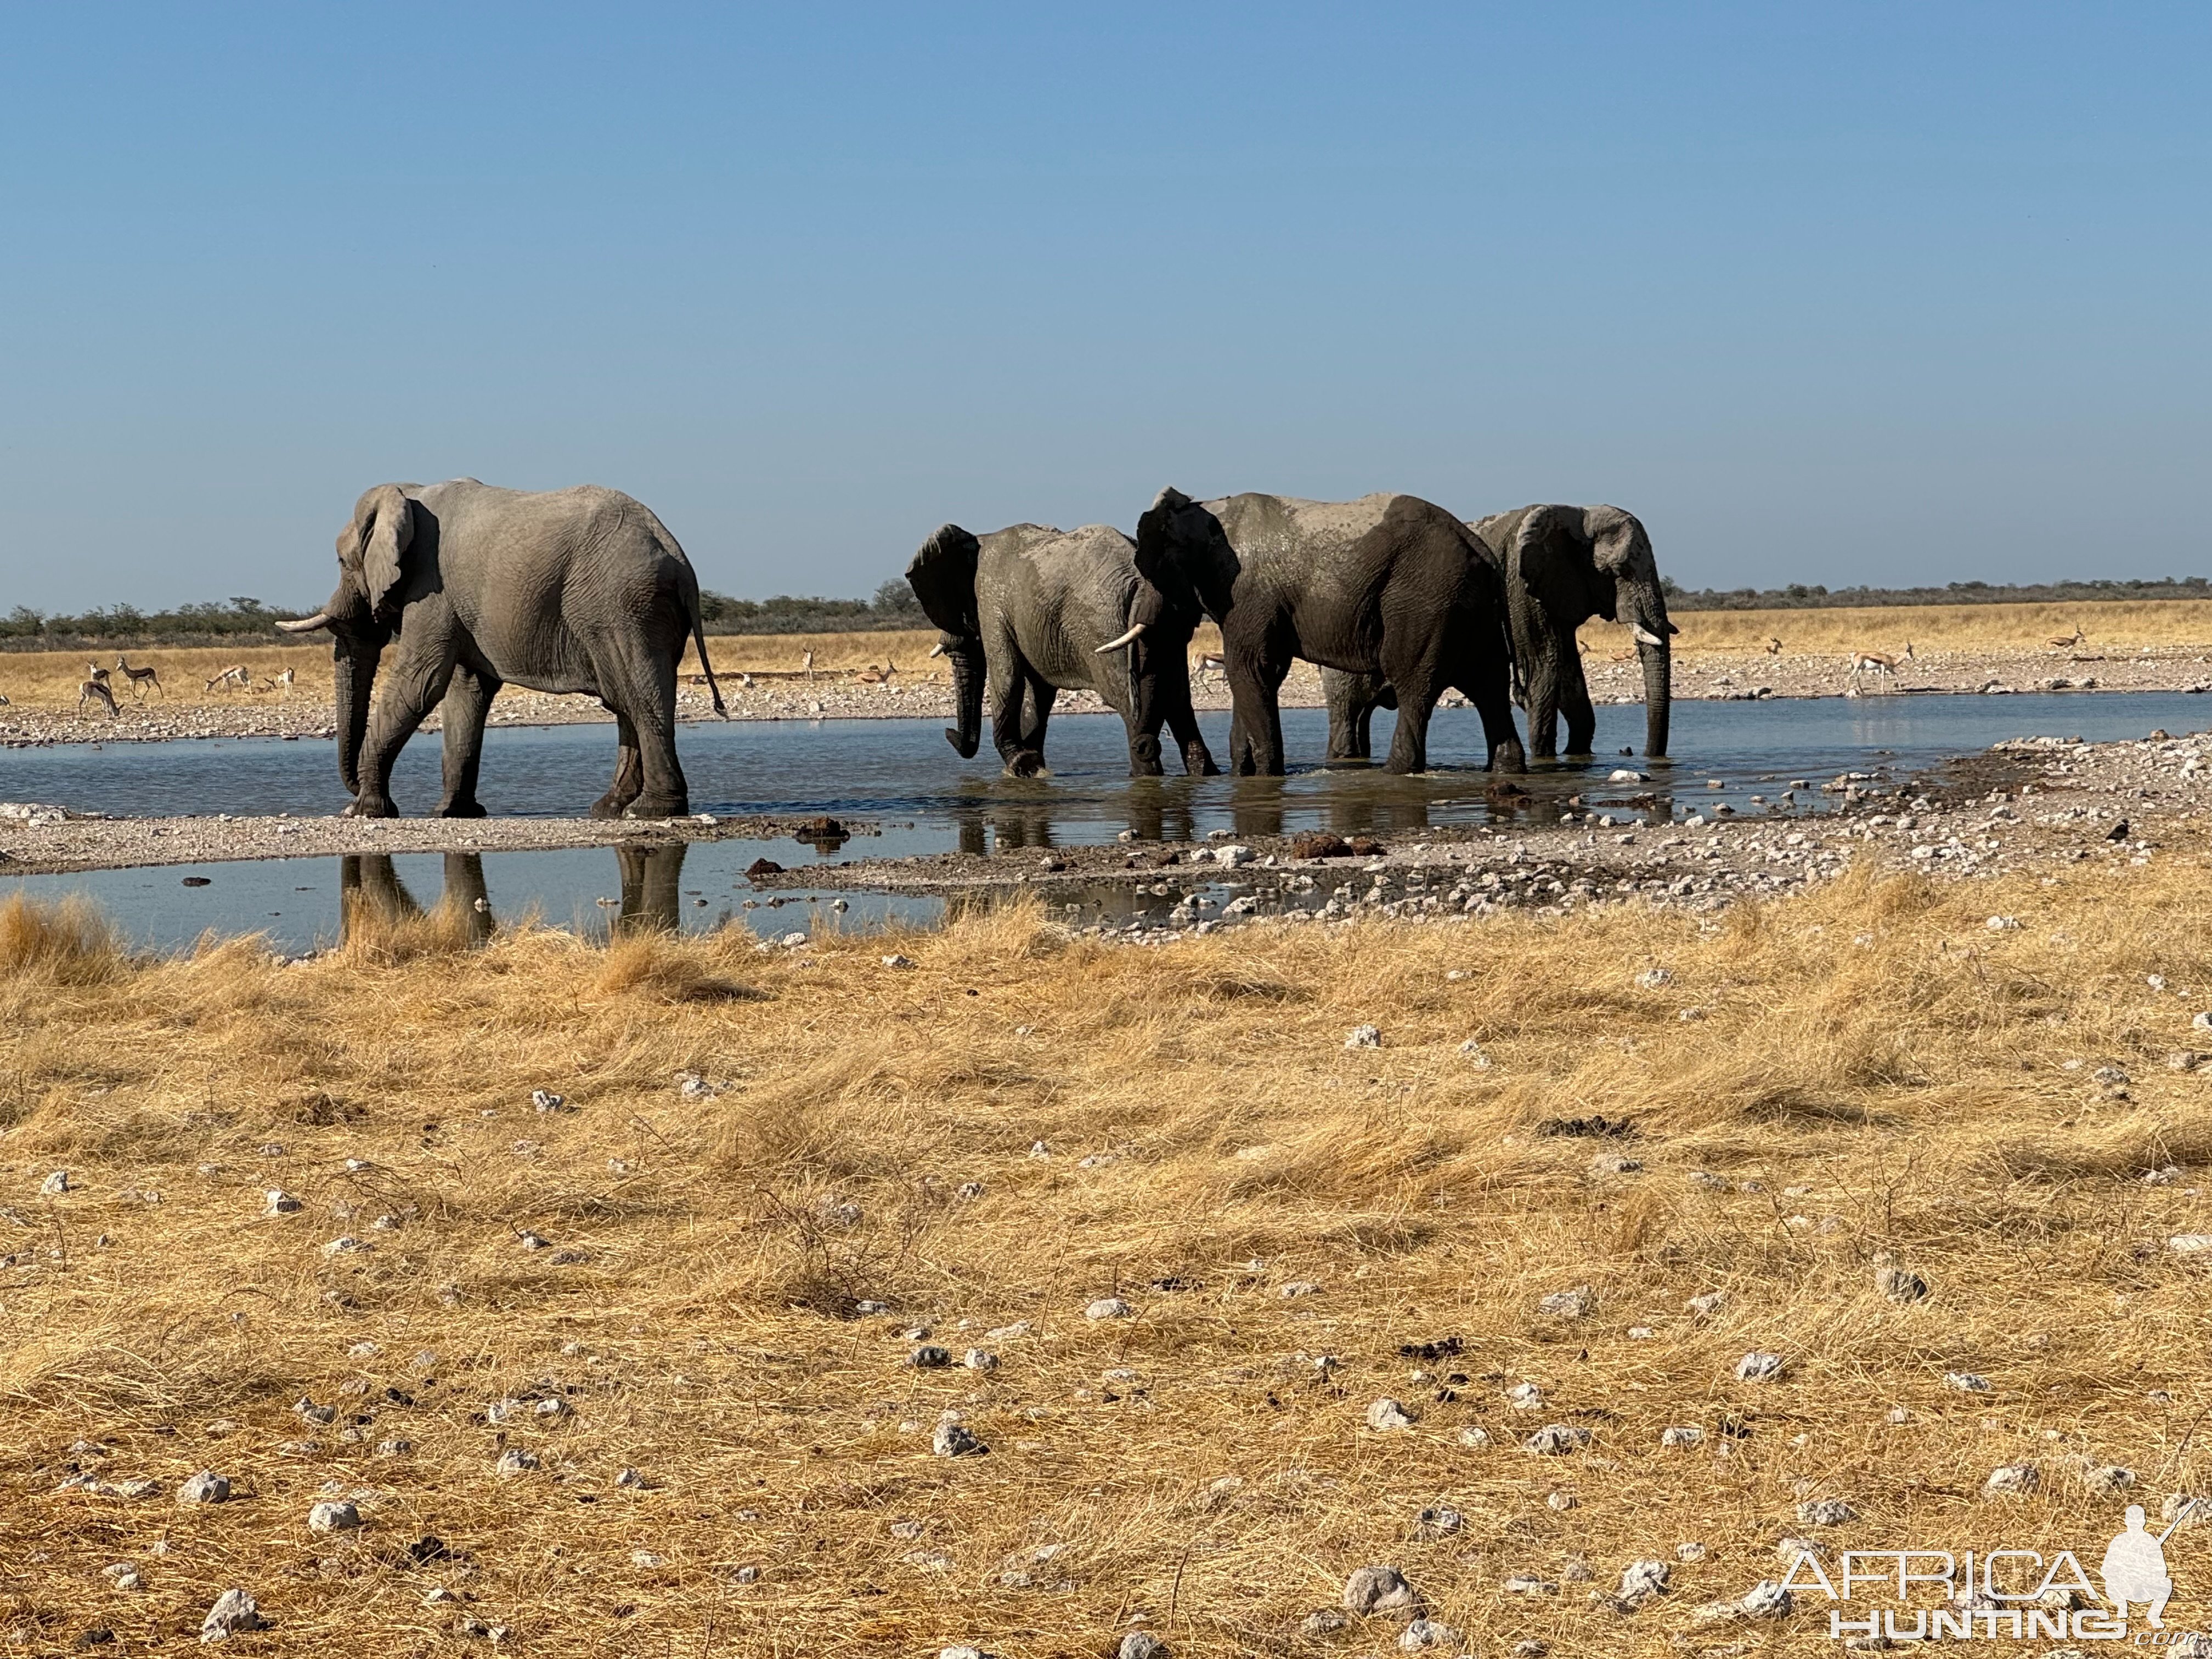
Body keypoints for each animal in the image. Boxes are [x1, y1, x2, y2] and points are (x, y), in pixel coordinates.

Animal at [279, 480, 725, 818]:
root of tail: (678, 556)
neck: (409, 492)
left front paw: (364, 812)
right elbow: (466, 690)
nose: (352, 786)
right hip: (638, 609)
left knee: (637, 695)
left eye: (341, 562)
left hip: (622, 604)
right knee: (625, 698)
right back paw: (609, 808)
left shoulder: (431, 589)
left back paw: (651, 811)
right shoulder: (454, 603)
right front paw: (452, 813)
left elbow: (422, 683)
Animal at [905, 521, 1217, 778]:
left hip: (1104, 626)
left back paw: (1144, 776)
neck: (976, 539)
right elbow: (1038, 693)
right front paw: (1032, 770)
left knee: (1128, 702)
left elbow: (1007, 676)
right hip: (1171, 623)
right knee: (1178, 699)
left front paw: (1021, 764)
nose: (948, 732)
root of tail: (1142, 582)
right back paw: (1204, 773)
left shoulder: (992, 604)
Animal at [1131, 489, 1525, 776]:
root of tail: (1482, 549)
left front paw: (1265, 776)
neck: (1203, 506)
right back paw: (1506, 769)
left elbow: (1251, 670)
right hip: (1469, 606)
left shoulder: (1249, 594)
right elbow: (1262, 674)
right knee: (1488, 684)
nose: (1144, 748)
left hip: (1426, 600)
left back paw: (1394, 772)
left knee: (1414, 683)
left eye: (1153, 572)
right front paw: (1244, 774)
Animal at [1321, 503, 1675, 763]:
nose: (1638, 753)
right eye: (1618, 571)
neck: (1577, 514)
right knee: (1348, 710)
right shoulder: (1522, 588)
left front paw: (1576, 756)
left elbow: (1567, 675)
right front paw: (1544, 759)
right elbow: (1543, 670)